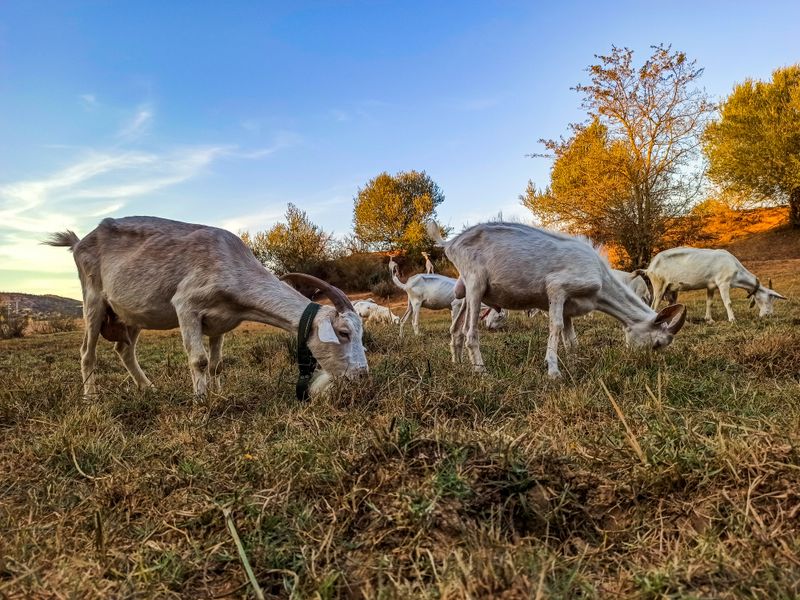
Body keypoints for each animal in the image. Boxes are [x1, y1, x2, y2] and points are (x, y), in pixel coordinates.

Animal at [46, 216, 368, 398]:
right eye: (343, 333)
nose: (362, 375)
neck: (231, 262)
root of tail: (78, 242)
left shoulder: (220, 323)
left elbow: (216, 364)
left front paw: (218, 393)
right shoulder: (186, 305)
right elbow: (199, 360)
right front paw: (201, 401)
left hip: (131, 314)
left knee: (124, 350)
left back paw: (148, 389)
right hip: (93, 300)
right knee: (87, 352)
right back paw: (91, 398)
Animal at [428, 221, 687, 378]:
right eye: (658, 343)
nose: (647, 366)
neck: (601, 282)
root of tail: (450, 244)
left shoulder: (569, 306)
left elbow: (571, 339)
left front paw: (575, 363)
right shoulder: (557, 288)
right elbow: (556, 327)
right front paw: (553, 371)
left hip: (464, 289)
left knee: (456, 329)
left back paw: (458, 364)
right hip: (476, 283)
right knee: (470, 332)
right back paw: (481, 371)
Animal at [645, 247, 787, 322]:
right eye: (768, 298)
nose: (768, 314)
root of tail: (650, 267)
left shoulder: (711, 286)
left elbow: (709, 302)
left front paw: (709, 320)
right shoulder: (723, 283)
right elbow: (728, 302)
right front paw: (732, 319)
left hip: (670, 289)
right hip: (659, 284)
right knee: (654, 304)